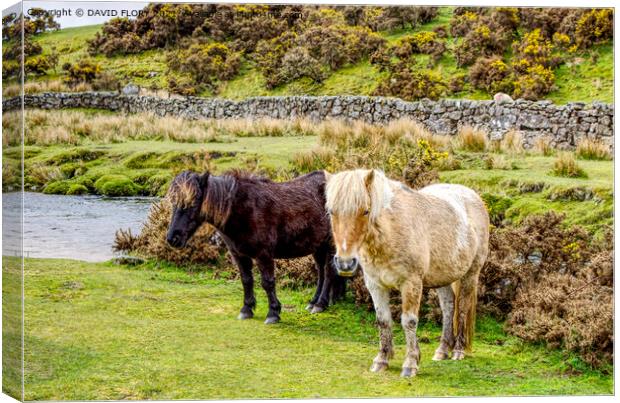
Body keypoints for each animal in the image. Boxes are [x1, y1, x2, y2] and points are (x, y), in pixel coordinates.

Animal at [165, 170, 344, 326]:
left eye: (194, 202)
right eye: (173, 203)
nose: (172, 238)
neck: (243, 211)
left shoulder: (263, 254)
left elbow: (267, 282)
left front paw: (273, 313)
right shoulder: (238, 254)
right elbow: (246, 280)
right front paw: (247, 309)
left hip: (329, 244)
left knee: (328, 272)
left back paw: (320, 304)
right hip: (318, 246)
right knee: (321, 272)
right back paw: (313, 302)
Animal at [324, 170, 490, 378]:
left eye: (365, 211)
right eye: (332, 212)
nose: (345, 263)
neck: (391, 231)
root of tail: (473, 196)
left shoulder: (411, 284)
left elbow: (409, 321)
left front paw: (410, 364)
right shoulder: (375, 285)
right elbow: (383, 321)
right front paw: (382, 360)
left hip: (471, 274)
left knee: (462, 308)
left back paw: (458, 350)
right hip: (443, 277)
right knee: (448, 307)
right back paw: (442, 350)